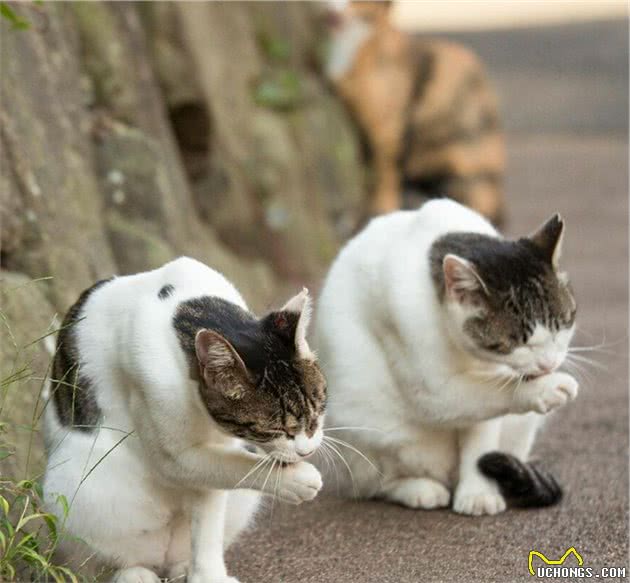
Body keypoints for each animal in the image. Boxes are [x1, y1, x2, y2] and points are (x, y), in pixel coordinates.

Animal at [43, 258, 328, 583]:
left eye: (318, 409)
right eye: (274, 429)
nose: (307, 451)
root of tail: (160, 558)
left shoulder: (216, 449)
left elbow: (211, 502)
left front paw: (208, 575)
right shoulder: (172, 452)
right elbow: (232, 466)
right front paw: (296, 480)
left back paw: (182, 568)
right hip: (74, 491)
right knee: (95, 563)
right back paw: (133, 573)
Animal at [318, 200, 580, 516]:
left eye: (562, 326)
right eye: (518, 342)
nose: (549, 364)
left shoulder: (489, 375)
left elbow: (481, 439)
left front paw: (478, 493)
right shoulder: (429, 383)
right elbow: (488, 394)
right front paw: (545, 388)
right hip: (375, 432)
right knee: (377, 484)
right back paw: (418, 489)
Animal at [328, 0, 506, 224]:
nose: (333, 11)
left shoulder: (387, 130)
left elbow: (383, 176)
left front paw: (379, 210)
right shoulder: (359, 129)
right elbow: (365, 176)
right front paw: (358, 215)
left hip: (456, 168)